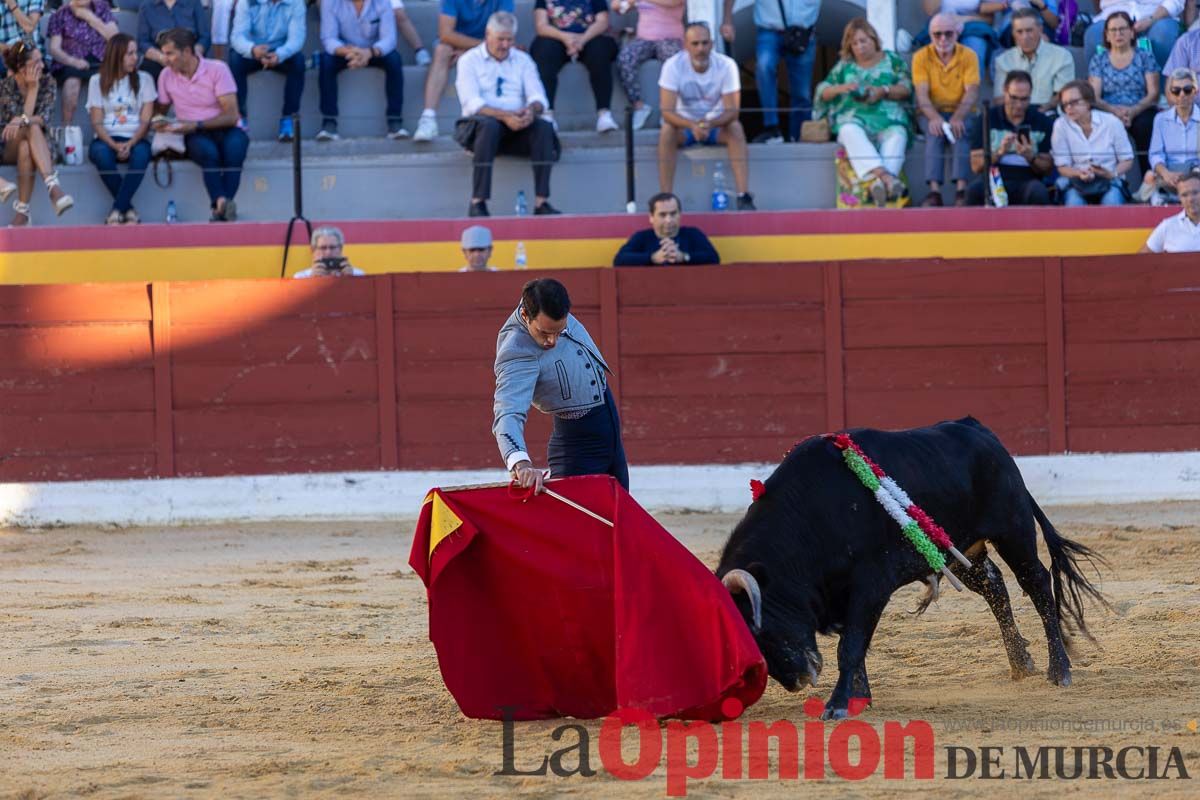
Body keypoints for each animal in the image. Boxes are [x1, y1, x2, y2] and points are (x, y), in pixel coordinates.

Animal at [715, 419, 1108, 719]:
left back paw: (1059, 670)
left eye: (760, 629)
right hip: (961, 549)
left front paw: (839, 704)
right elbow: (858, 643)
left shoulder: (870, 583)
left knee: (1038, 585)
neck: (810, 516)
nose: (798, 680)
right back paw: (1020, 663)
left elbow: (851, 645)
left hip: (1013, 529)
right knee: (995, 586)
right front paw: (860, 697)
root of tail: (980, 430)